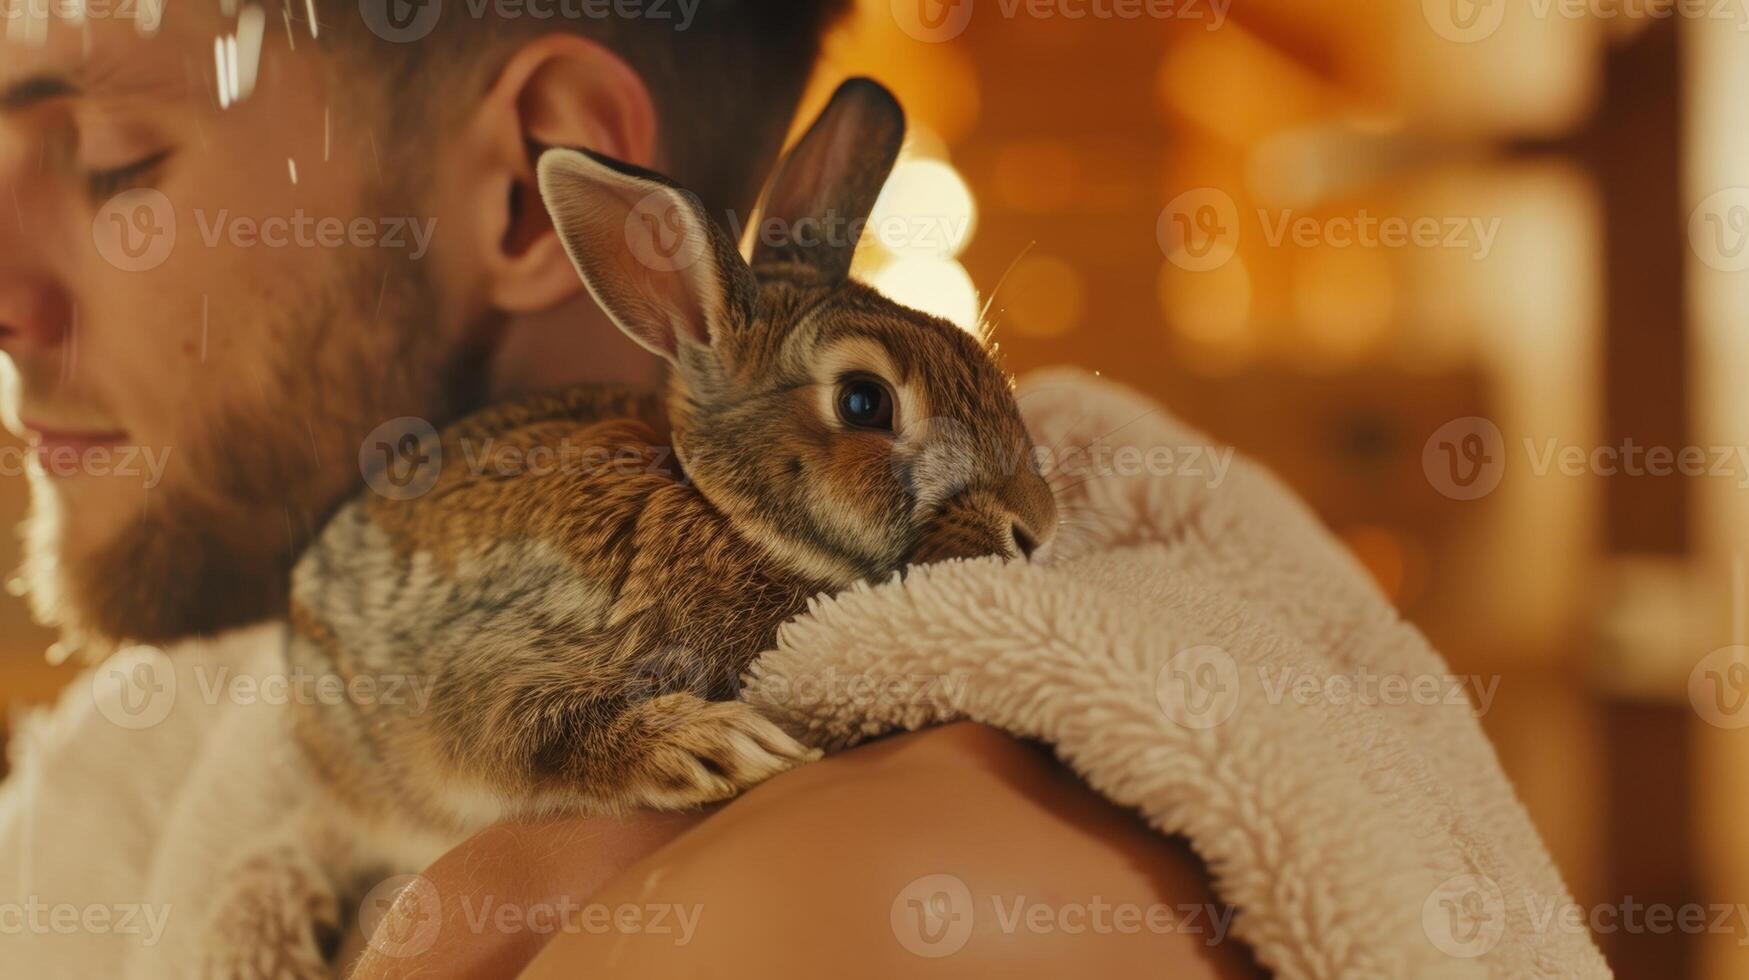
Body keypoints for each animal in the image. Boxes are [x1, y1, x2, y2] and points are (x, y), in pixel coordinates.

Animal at [198, 80, 1056, 973]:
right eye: (863, 402)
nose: (1035, 527)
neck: (723, 510)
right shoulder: (512, 652)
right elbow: (523, 728)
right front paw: (713, 746)